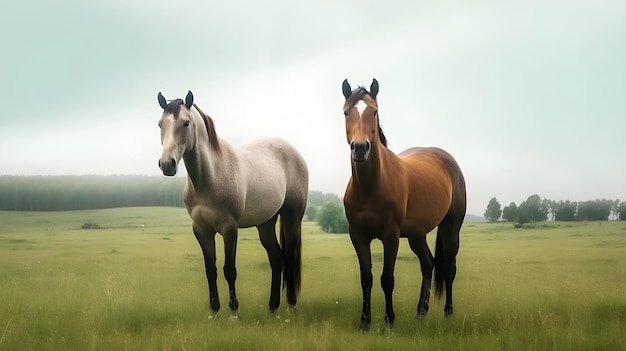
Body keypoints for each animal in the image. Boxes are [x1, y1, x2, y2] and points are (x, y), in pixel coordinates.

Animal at [156, 90, 308, 316]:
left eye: (186, 123)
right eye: (160, 124)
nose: (167, 164)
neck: (209, 177)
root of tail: (295, 154)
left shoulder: (229, 228)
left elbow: (229, 270)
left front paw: (234, 312)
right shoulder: (201, 229)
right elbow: (210, 270)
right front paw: (214, 311)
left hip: (291, 217)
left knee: (289, 257)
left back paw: (291, 306)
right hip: (265, 224)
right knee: (276, 259)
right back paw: (272, 307)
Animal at [338, 78, 466, 332]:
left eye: (374, 112)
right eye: (346, 112)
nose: (360, 148)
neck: (370, 186)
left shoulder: (391, 236)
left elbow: (387, 279)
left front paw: (389, 320)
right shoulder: (358, 236)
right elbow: (366, 279)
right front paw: (364, 322)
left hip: (451, 227)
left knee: (448, 268)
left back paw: (448, 312)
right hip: (417, 235)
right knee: (428, 264)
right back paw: (421, 312)